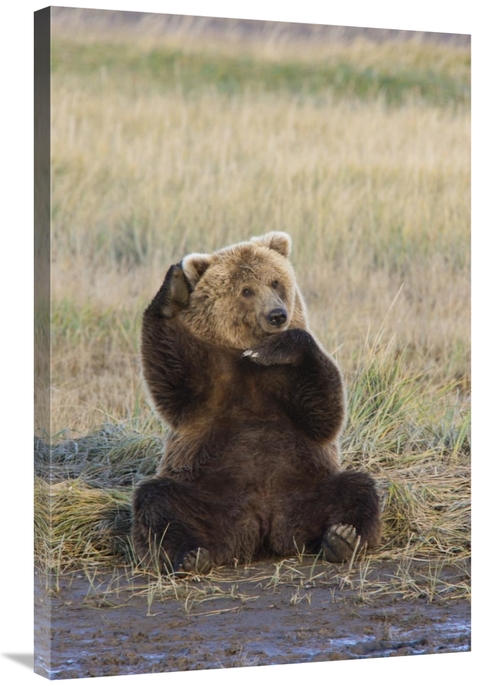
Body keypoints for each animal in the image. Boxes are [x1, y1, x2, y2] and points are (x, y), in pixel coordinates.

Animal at [132, 231, 381, 574]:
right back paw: (193, 555)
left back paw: (342, 538)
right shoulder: (210, 382)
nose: (276, 315)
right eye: (246, 290)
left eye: (276, 282)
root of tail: (263, 522)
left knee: (357, 488)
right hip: (208, 493)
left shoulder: (284, 382)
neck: (242, 351)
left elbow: (323, 412)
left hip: (306, 487)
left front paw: (274, 347)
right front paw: (174, 287)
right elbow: (172, 378)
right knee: (159, 501)